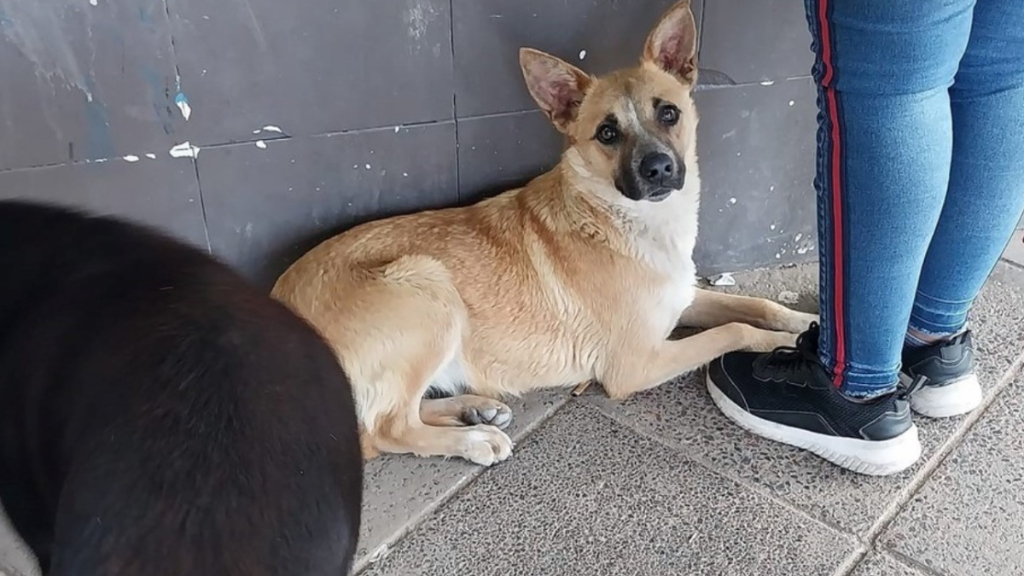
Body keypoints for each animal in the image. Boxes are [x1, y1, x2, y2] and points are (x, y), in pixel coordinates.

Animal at [272, 0, 815, 463]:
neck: (622, 218)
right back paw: (473, 439)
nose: (659, 169)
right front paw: (778, 343)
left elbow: (756, 305)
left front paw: (805, 324)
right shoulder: (635, 364)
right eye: (607, 133)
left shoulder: (683, 298)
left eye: (669, 113)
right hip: (426, 285)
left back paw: (473, 408)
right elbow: (734, 329)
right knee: (384, 430)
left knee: (388, 416)